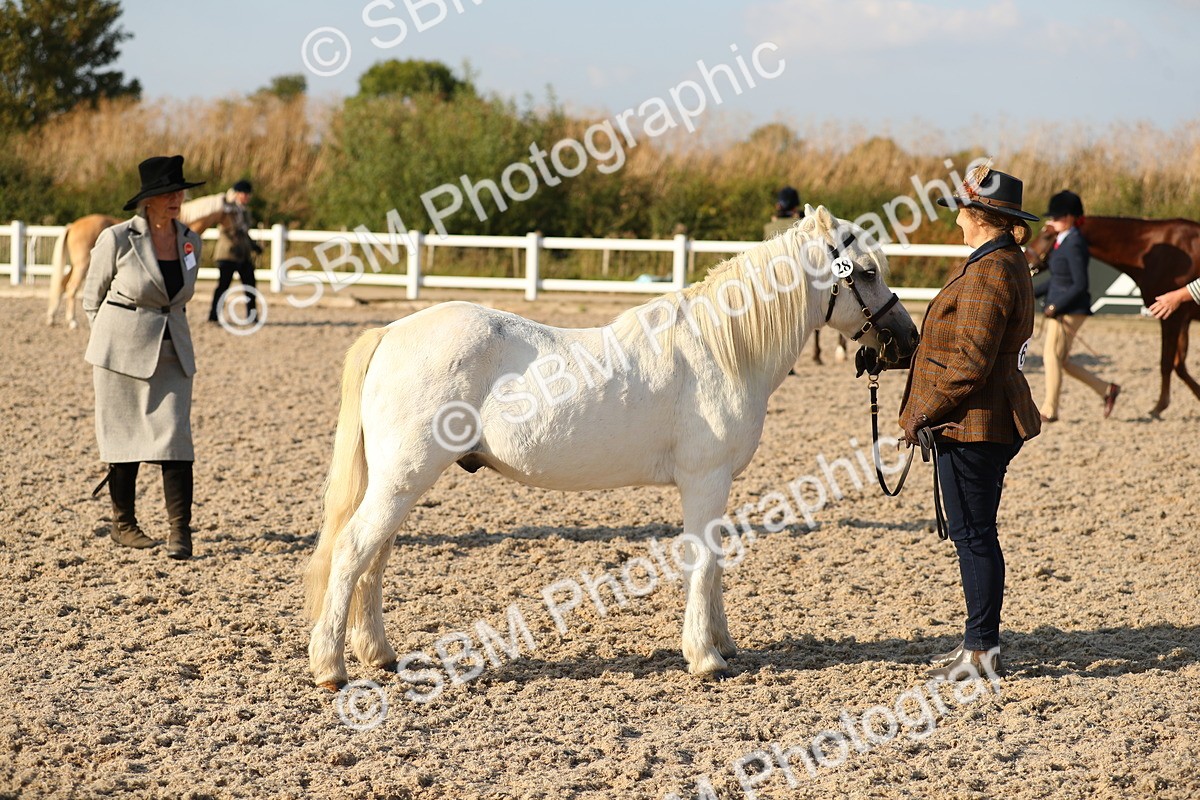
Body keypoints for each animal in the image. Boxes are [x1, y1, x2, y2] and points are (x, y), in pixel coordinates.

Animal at [46, 193, 239, 328]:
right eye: (236, 212)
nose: (239, 229)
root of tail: (72, 225)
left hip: (76, 265)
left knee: (62, 284)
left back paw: (52, 318)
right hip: (83, 264)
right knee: (71, 288)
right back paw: (72, 321)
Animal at [303, 204, 920, 691]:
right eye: (866, 272)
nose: (907, 341)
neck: (723, 348)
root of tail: (391, 332)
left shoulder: (717, 485)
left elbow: (715, 561)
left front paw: (724, 644)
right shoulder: (705, 478)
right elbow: (701, 560)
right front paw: (705, 658)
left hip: (402, 479)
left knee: (376, 556)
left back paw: (378, 655)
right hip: (405, 476)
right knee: (354, 549)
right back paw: (331, 667)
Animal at [1026, 216, 1200, 417]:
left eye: (1047, 235)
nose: (1026, 259)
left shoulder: (1171, 316)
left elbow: (1166, 363)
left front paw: (1159, 407)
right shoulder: (1183, 320)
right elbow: (1179, 366)